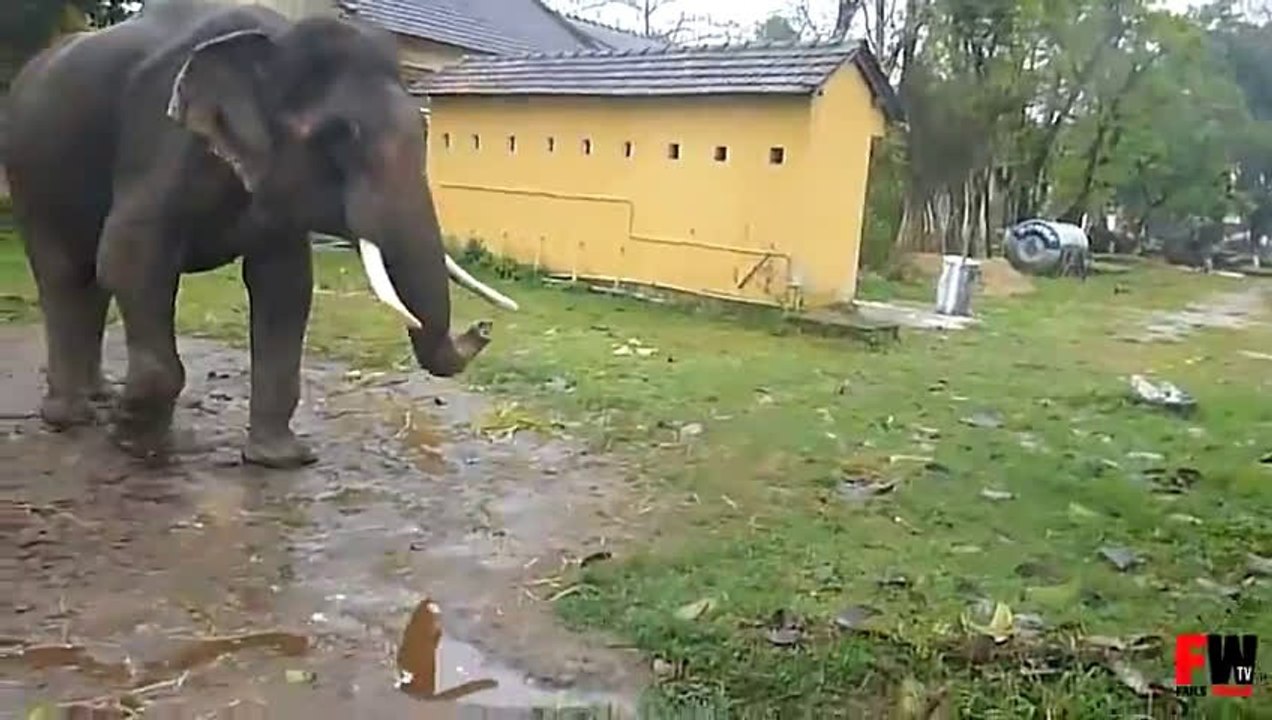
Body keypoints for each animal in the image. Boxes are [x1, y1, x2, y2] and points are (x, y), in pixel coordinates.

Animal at [2, 0, 519, 468]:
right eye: (335, 137)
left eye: (426, 131)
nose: (483, 327)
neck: (274, 42)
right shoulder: (160, 140)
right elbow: (131, 258)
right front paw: (135, 442)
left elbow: (286, 286)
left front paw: (281, 459)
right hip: (30, 176)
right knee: (64, 273)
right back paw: (72, 417)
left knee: (87, 279)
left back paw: (100, 398)